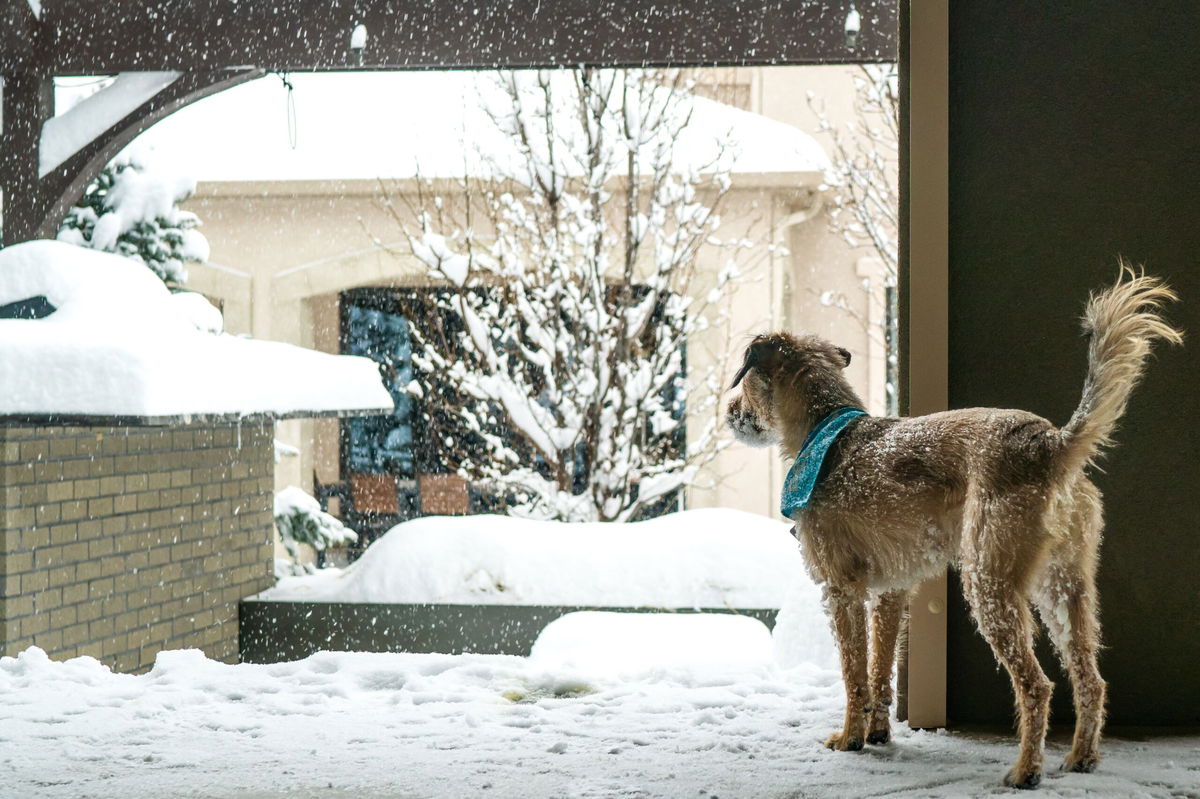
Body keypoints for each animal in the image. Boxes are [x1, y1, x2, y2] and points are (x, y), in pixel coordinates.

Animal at [720, 266, 1180, 782]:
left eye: (745, 382)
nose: (730, 414)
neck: (827, 431)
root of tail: (1051, 444)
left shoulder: (841, 591)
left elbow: (854, 674)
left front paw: (850, 738)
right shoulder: (890, 593)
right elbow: (881, 672)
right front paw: (878, 734)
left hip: (989, 583)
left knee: (1036, 685)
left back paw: (1026, 770)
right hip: (1064, 590)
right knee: (1090, 678)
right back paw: (1082, 756)